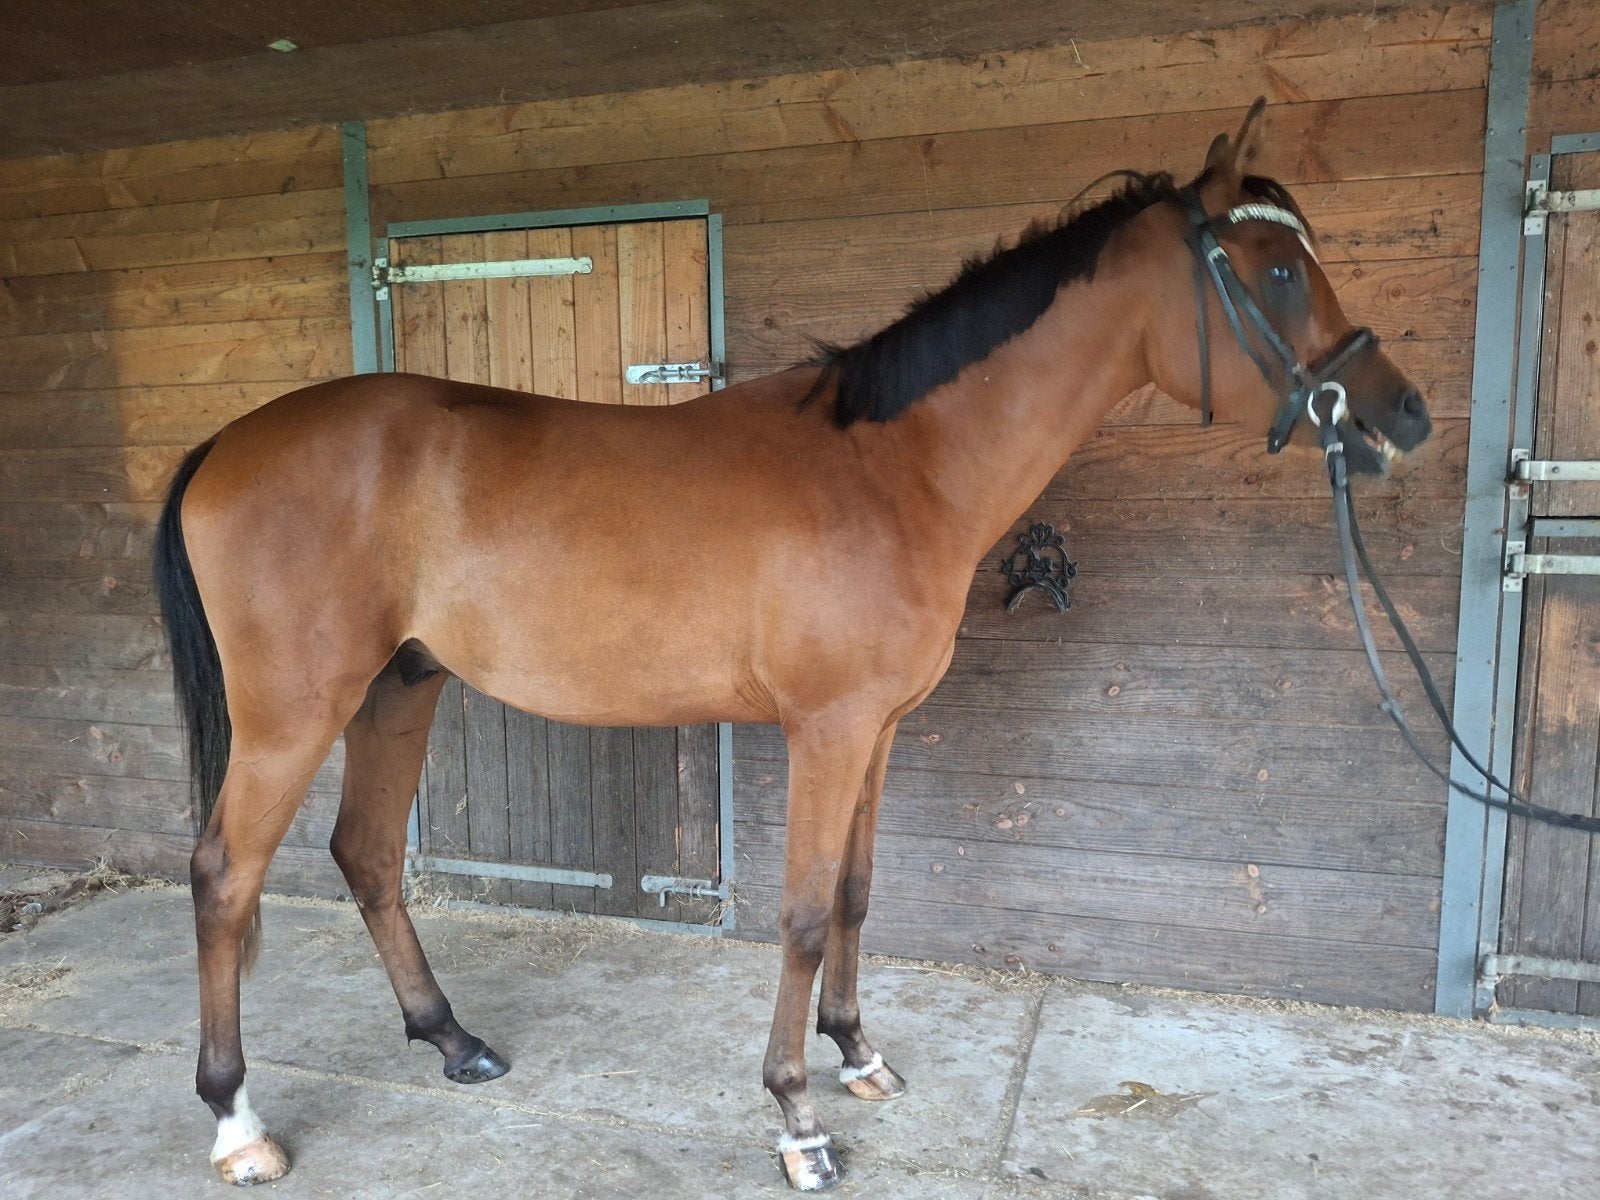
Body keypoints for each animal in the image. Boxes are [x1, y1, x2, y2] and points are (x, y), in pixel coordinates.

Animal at [152, 101, 1432, 1191]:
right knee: (225, 876)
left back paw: (451, 1039)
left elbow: (858, 894)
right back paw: (238, 1124)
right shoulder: (827, 730)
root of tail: (226, 442)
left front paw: (859, 1057)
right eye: (1276, 271)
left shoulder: (879, 731)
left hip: (398, 688)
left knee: (366, 855)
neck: (896, 467)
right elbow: (807, 913)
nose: (1401, 416)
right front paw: (796, 1120)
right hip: (296, 709)